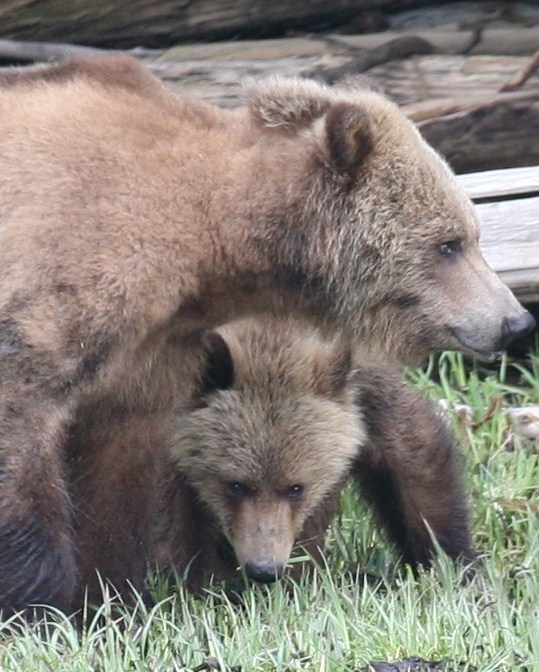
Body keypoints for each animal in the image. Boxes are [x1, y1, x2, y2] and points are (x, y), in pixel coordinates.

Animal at [158, 320, 474, 588]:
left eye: (296, 488)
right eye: (236, 485)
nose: (264, 569)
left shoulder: (362, 372)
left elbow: (412, 451)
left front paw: (449, 562)